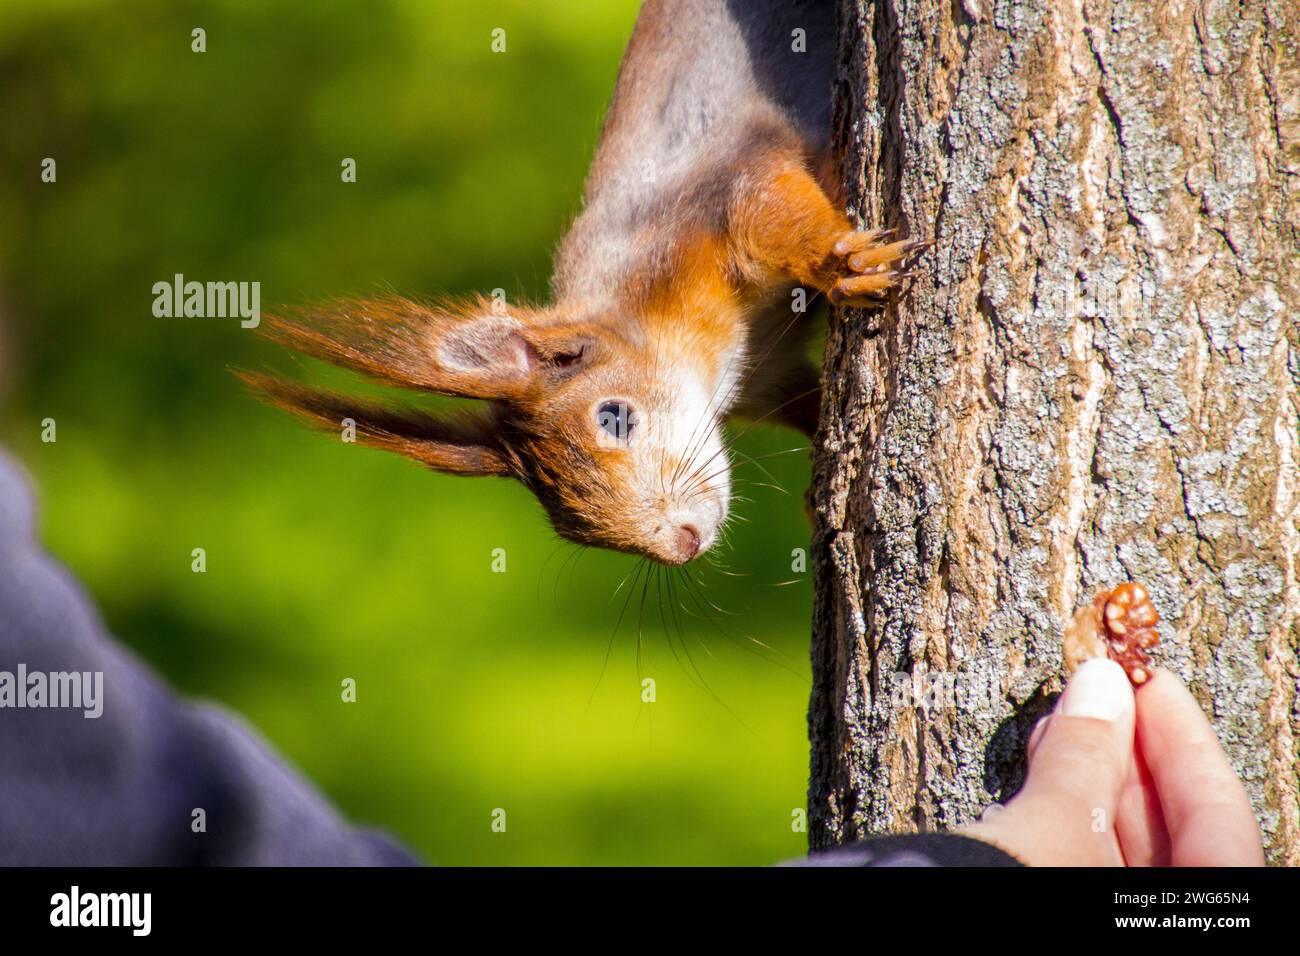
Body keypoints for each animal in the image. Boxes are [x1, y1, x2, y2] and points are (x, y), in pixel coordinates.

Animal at [242, 0, 921, 566]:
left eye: (614, 418)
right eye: (572, 529)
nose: (683, 544)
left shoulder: (713, 198)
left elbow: (779, 213)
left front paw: (846, 267)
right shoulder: (770, 378)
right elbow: (808, 403)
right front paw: (815, 489)